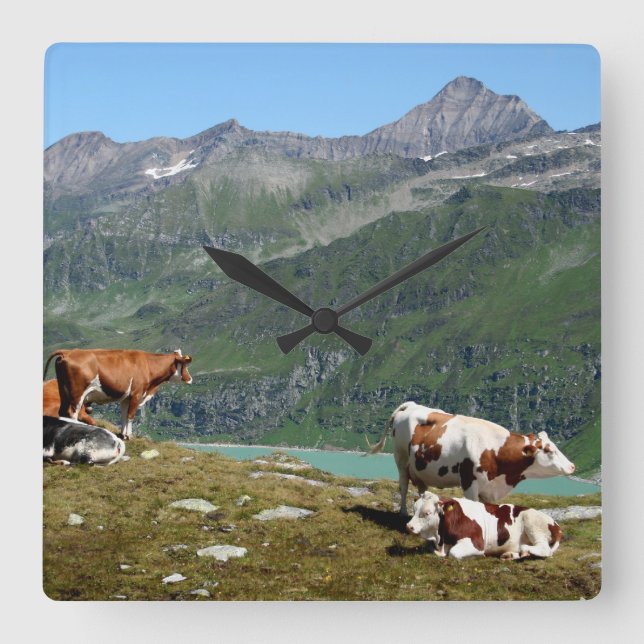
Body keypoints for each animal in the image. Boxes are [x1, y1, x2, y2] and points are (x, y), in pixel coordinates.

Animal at [43, 348, 193, 439]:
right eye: (185, 365)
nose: (190, 379)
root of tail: (68, 352)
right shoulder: (137, 394)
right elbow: (131, 416)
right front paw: (129, 436)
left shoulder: (126, 398)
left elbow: (124, 416)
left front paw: (123, 434)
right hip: (77, 393)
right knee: (72, 413)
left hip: (63, 391)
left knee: (62, 412)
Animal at [367, 401, 575, 514]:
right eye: (548, 450)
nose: (572, 466)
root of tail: (412, 405)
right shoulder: (469, 482)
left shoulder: (489, 489)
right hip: (401, 458)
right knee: (403, 486)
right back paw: (403, 512)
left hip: (421, 467)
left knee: (421, 488)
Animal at [406, 491, 562, 560]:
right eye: (414, 508)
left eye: (427, 513)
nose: (409, 526)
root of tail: (556, 525)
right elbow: (431, 548)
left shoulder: (476, 542)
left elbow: (454, 553)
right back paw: (511, 555)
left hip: (533, 523)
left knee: (544, 549)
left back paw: (524, 550)